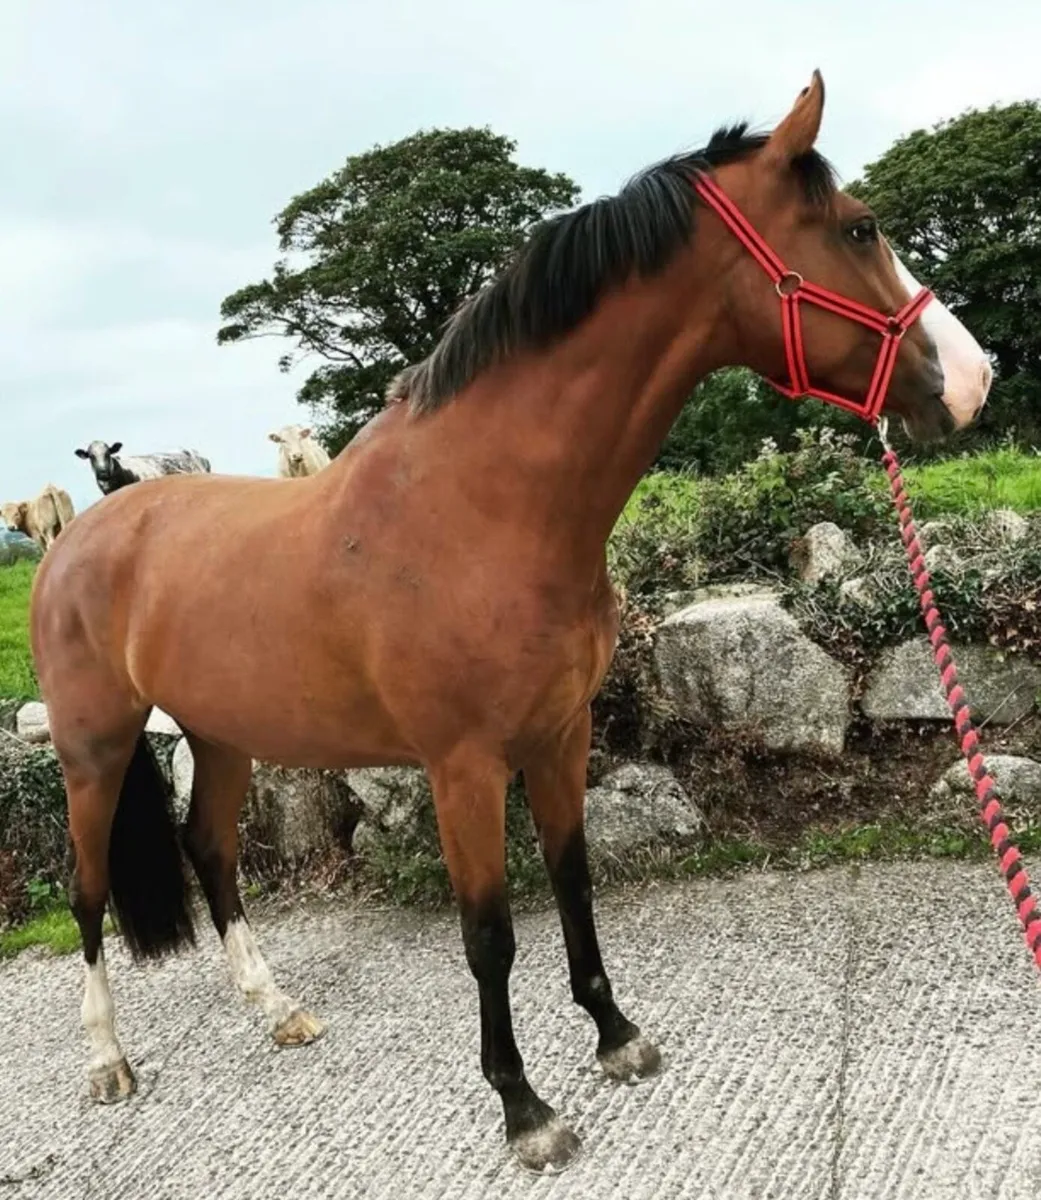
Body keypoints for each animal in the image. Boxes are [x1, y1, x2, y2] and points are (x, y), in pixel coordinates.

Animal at [31, 72, 991, 1174]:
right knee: (88, 892)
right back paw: (108, 1060)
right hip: (95, 750)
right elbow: (488, 933)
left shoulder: (558, 735)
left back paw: (276, 1009)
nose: (976, 377)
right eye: (858, 226)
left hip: (222, 735)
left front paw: (615, 1037)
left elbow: (573, 882)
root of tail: (79, 533)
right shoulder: (463, 769)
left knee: (210, 855)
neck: (482, 510)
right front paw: (524, 1108)